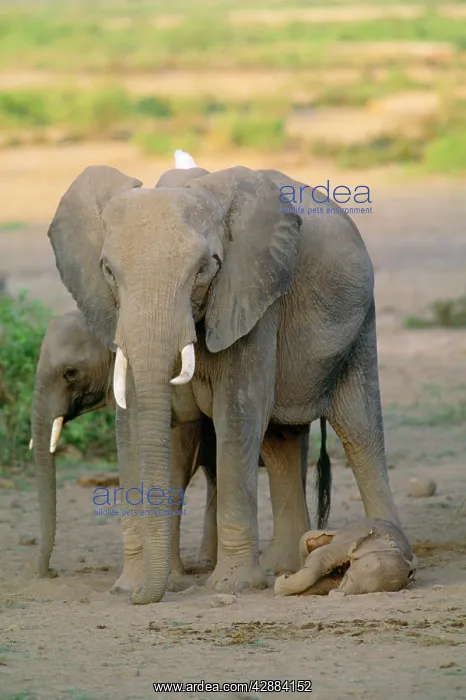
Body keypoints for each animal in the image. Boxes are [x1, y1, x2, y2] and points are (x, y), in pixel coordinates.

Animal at [46, 155, 400, 604]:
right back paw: (282, 567)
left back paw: (389, 550)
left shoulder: (251, 294)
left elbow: (237, 414)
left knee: (359, 430)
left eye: (204, 269)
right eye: (108, 271)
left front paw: (235, 586)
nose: (139, 596)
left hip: (360, 322)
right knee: (281, 443)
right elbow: (133, 425)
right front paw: (135, 585)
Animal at [274, 518, 415, 596]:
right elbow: (319, 556)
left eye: (369, 591)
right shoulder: (348, 542)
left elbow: (324, 584)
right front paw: (282, 580)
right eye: (367, 565)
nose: (339, 595)